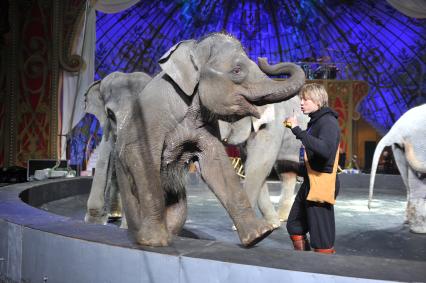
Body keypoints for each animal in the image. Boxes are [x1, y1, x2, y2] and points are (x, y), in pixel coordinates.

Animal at [220, 95, 310, 229]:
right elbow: (253, 167)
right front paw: (273, 224)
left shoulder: (273, 126)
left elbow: (259, 165)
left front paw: (240, 227)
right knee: (286, 172)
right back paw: (282, 218)